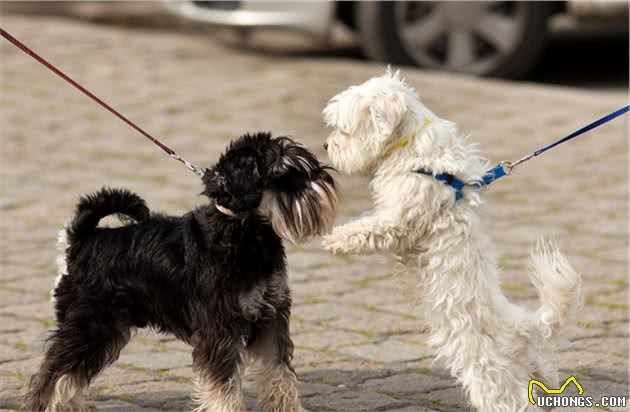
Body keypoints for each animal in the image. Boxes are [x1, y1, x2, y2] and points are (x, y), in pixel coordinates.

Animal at [26, 133, 338, 412]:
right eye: (286, 174)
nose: (325, 179)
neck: (244, 231)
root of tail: (81, 240)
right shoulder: (220, 328)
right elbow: (224, 384)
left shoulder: (271, 317)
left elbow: (279, 374)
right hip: (89, 326)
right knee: (52, 375)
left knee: (69, 375)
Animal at [324, 69, 580, 410]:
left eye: (345, 129)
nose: (326, 145)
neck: (411, 149)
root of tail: (517, 328)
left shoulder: (400, 219)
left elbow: (370, 228)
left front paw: (336, 238)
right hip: (530, 362)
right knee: (542, 370)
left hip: (485, 368)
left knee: (507, 399)